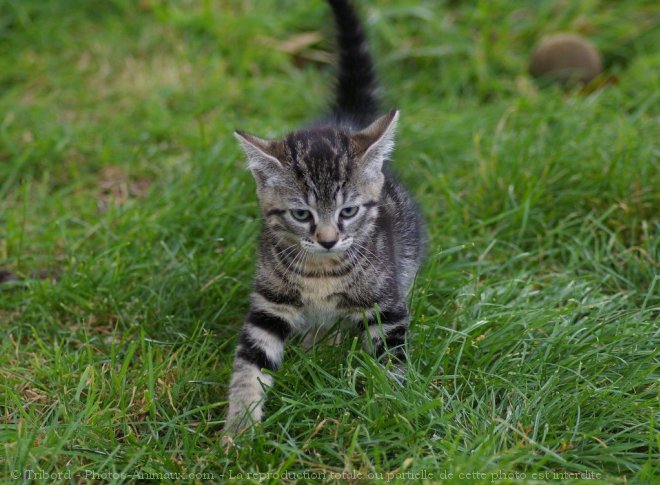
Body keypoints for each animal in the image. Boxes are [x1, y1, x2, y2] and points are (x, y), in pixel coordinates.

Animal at [224, 0, 426, 432]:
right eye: (302, 214)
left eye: (348, 211)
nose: (329, 239)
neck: (322, 271)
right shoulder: (269, 304)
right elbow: (250, 364)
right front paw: (240, 428)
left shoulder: (386, 304)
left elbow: (392, 359)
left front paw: (390, 408)